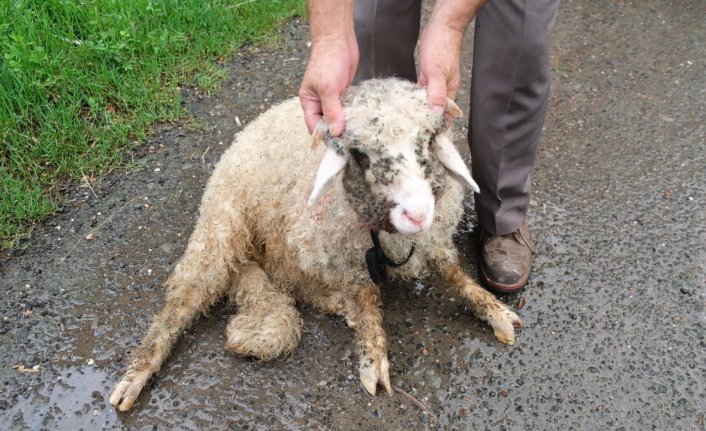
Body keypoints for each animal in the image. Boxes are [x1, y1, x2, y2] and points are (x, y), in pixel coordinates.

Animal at [108, 77, 516, 412]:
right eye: (360, 155)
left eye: (428, 141)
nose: (417, 214)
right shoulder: (345, 257)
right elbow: (367, 301)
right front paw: (373, 358)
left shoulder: (433, 240)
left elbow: (453, 274)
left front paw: (493, 309)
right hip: (223, 225)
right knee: (187, 296)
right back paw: (136, 374)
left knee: (282, 280)